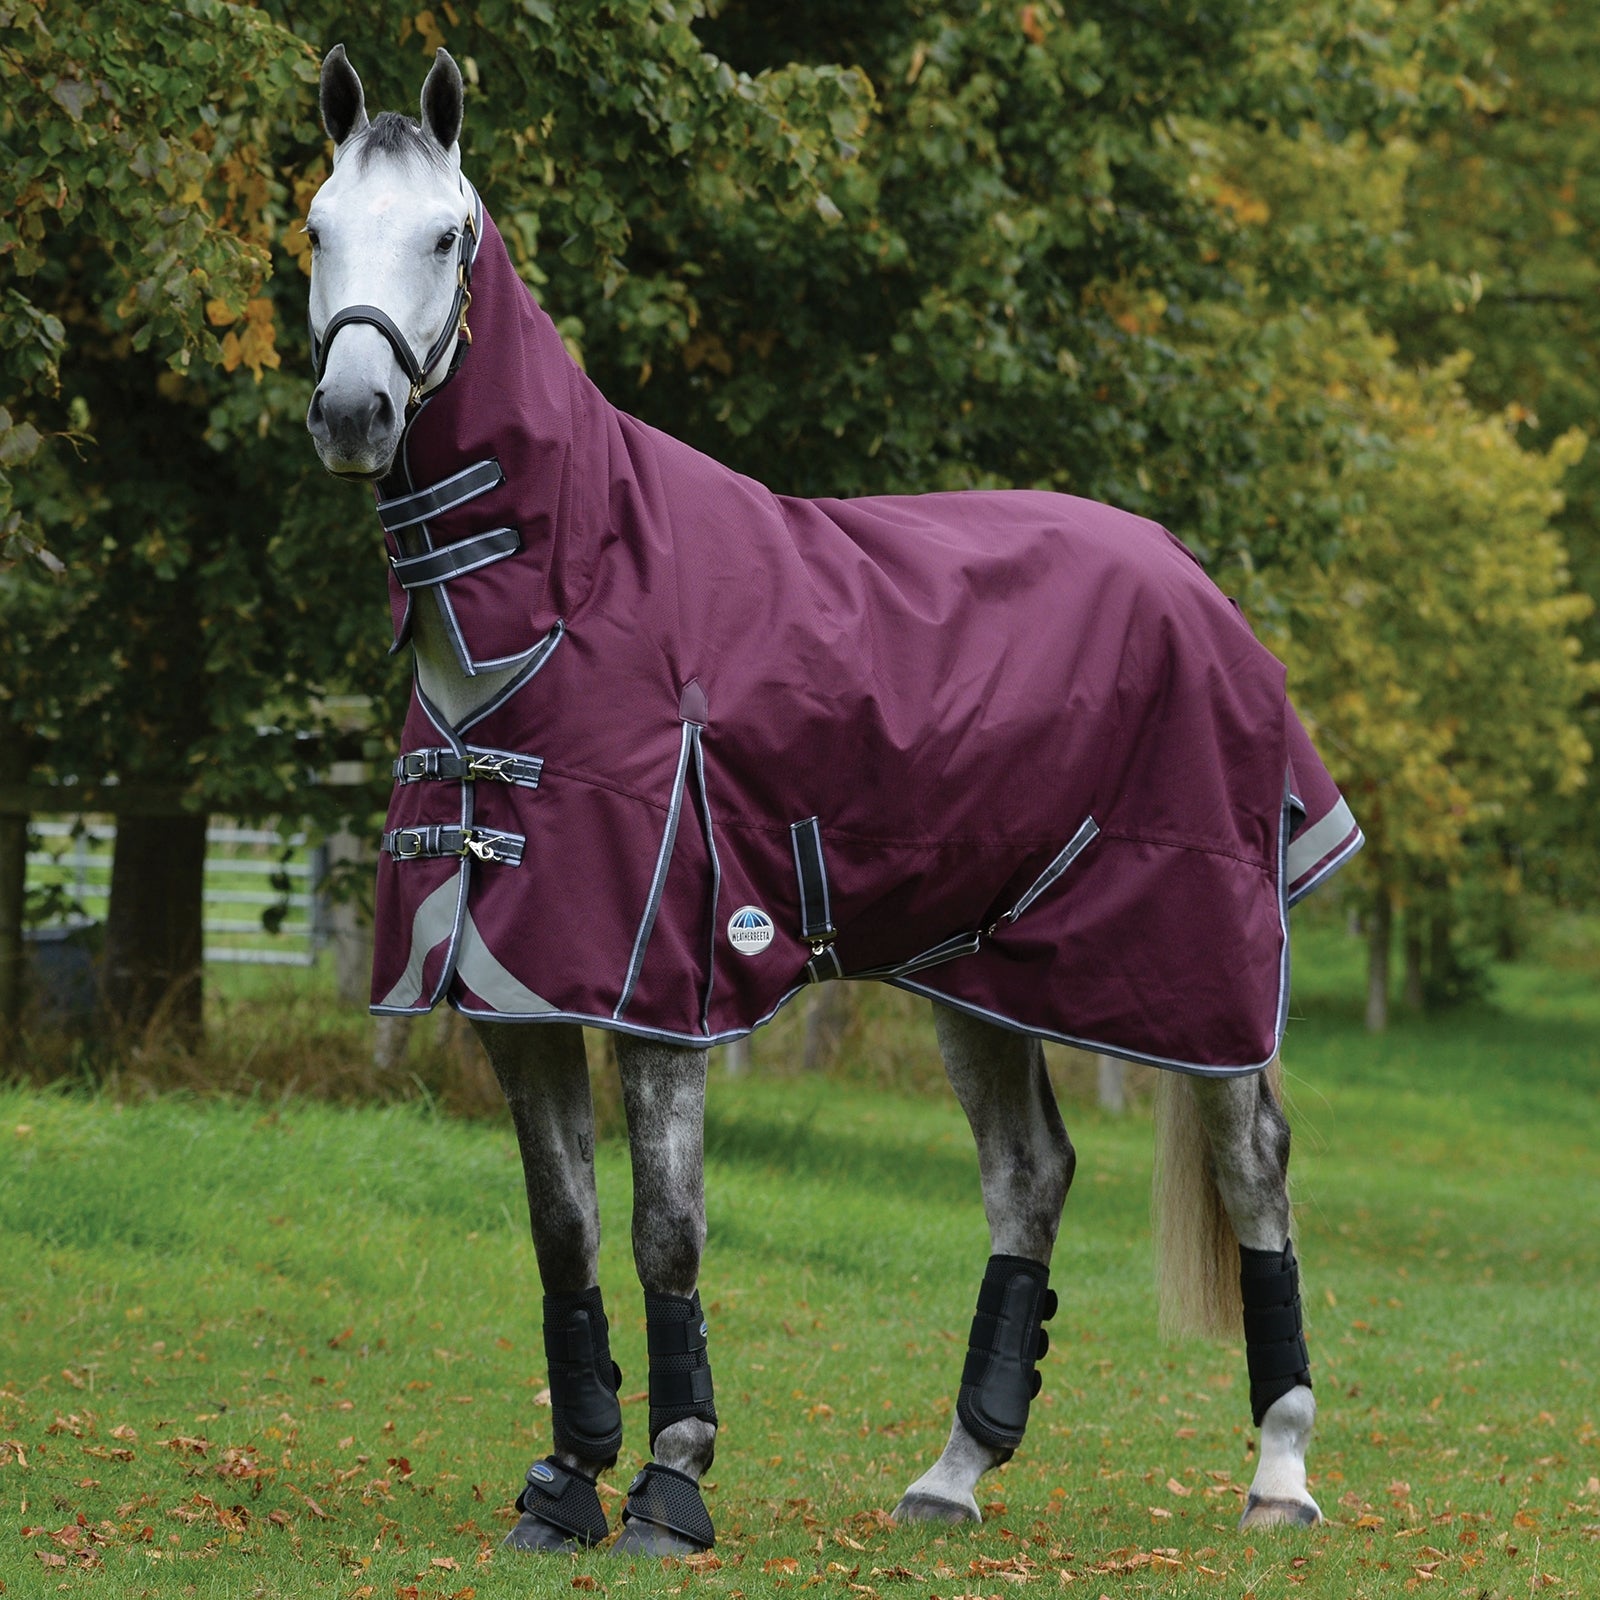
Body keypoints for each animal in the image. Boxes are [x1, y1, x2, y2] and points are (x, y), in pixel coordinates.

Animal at [302, 44, 1360, 1556]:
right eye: (316, 229)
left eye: (446, 235)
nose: (353, 415)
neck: (573, 595)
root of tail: (1190, 580)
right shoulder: (522, 996)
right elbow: (563, 1232)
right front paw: (564, 1485)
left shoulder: (664, 986)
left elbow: (664, 1229)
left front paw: (671, 1486)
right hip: (979, 973)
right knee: (1029, 1176)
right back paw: (953, 1474)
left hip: (1194, 970)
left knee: (1253, 1164)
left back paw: (1280, 1474)